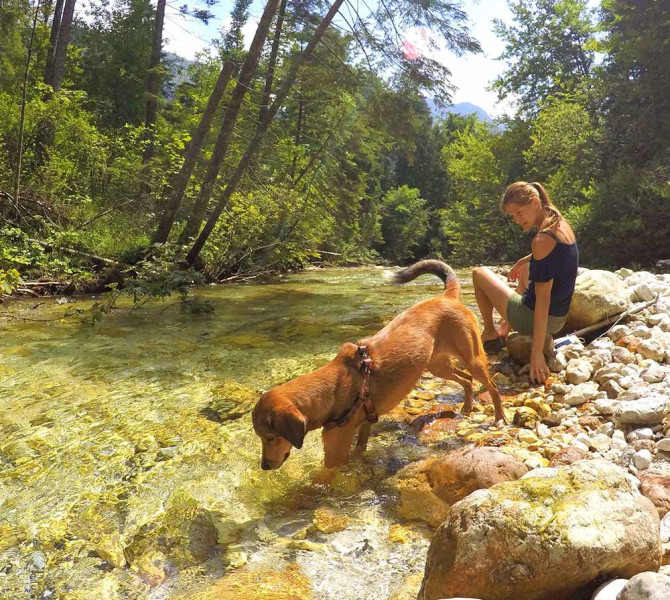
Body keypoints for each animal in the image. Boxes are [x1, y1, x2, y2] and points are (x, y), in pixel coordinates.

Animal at [253, 260, 510, 472]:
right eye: (262, 438)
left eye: (269, 437)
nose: (264, 466)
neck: (332, 392)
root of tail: (448, 296)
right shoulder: (365, 424)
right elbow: (360, 448)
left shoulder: (335, 453)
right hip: (437, 365)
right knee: (466, 380)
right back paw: (467, 407)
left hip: (472, 357)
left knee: (492, 386)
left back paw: (499, 417)